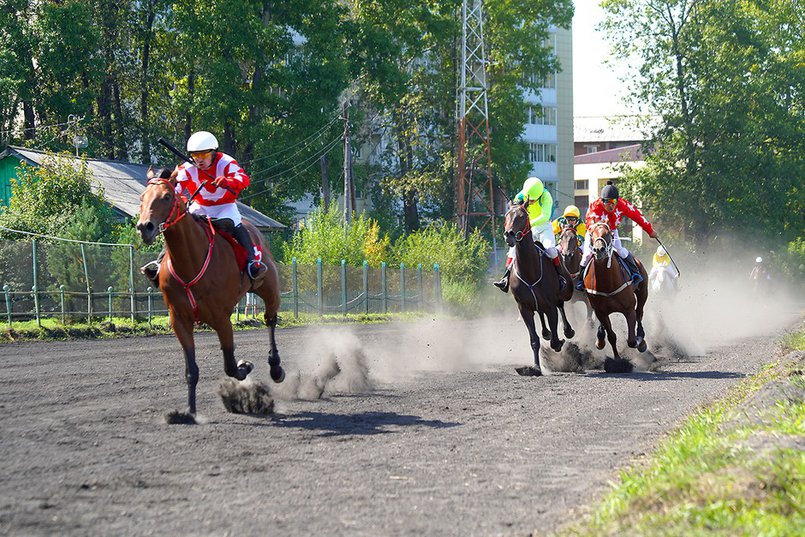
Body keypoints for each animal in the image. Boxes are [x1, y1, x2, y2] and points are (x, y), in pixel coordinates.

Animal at [138, 165, 286, 420]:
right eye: (142, 198)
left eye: (166, 196)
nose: (144, 227)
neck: (190, 261)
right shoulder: (179, 319)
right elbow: (191, 370)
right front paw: (189, 413)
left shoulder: (221, 318)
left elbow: (230, 365)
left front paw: (245, 366)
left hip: (268, 289)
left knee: (270, 320)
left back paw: (275, 367)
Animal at [502, 203, 572, 374]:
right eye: (506, 215)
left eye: (523, 217)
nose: (509, 235)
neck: (529, 271)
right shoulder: (524, 308)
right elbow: (534, 340)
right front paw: (534, 368)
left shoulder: (550, 306)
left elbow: (555, 341)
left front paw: (559, 341)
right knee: (540, 314)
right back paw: (546, 332)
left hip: (563, 294)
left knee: (561, 306)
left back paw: (567, 330)